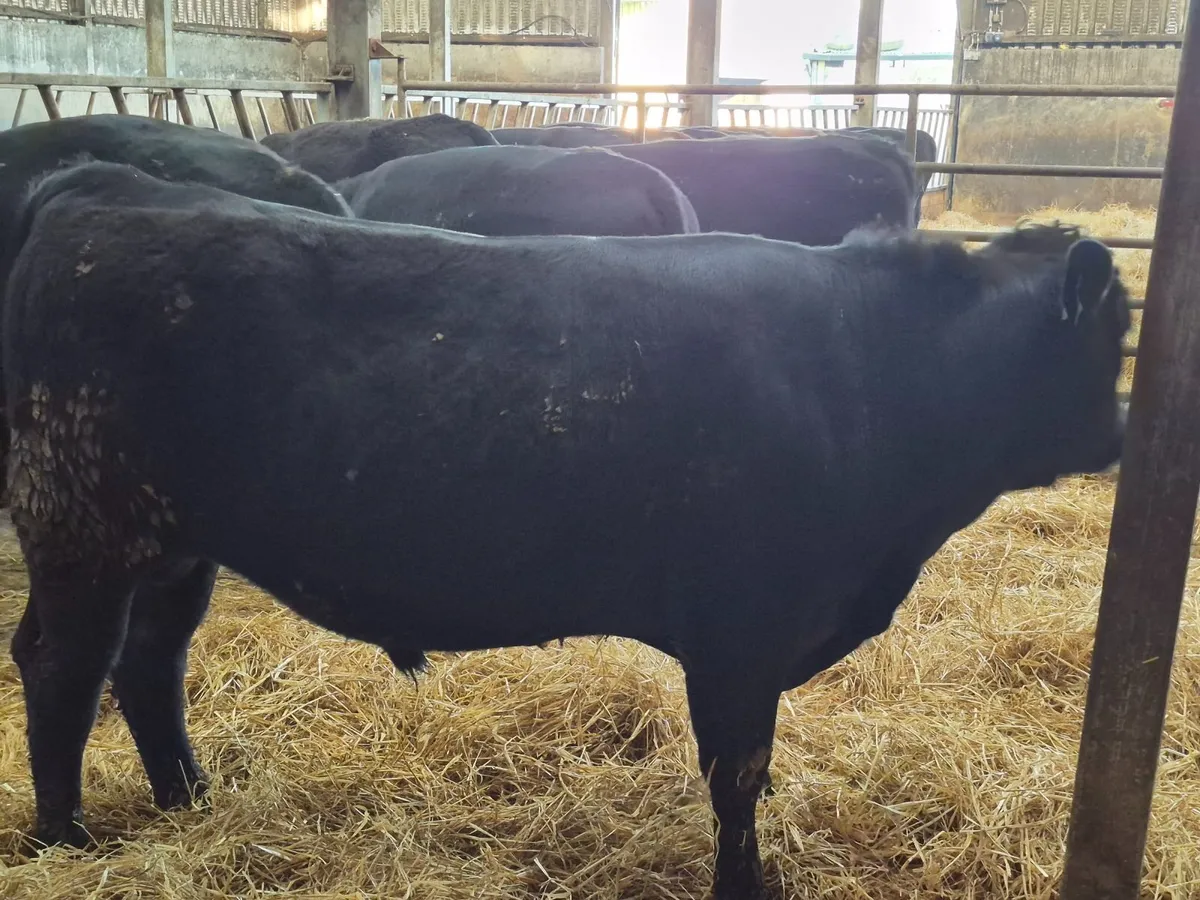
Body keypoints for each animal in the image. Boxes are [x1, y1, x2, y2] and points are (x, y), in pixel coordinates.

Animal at [4, 160, 1129, 900]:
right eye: (1115, 337)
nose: (1124, 430)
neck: (865, 367)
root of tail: (106, 189)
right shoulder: (740, 634)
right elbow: (738, 777)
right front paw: (745, 887)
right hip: (81, 528)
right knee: (63, 666)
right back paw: (66, 838)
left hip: (174, 543)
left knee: (149, 662)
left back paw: (189, 800)